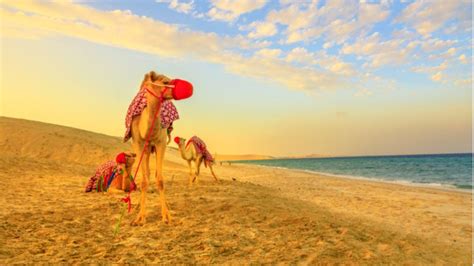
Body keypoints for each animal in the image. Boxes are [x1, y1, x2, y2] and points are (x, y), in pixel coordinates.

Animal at [125, 70, 193, 224]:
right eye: (165, 82)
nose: (189, 87)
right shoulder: (138, 143)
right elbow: (144, 180)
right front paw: (140, 217)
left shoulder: (160, 142)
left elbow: (160, 179)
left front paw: (166, 215)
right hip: (146, 149)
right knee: (148, 174)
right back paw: (138, 206)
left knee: (156, 174)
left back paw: (166, 206)